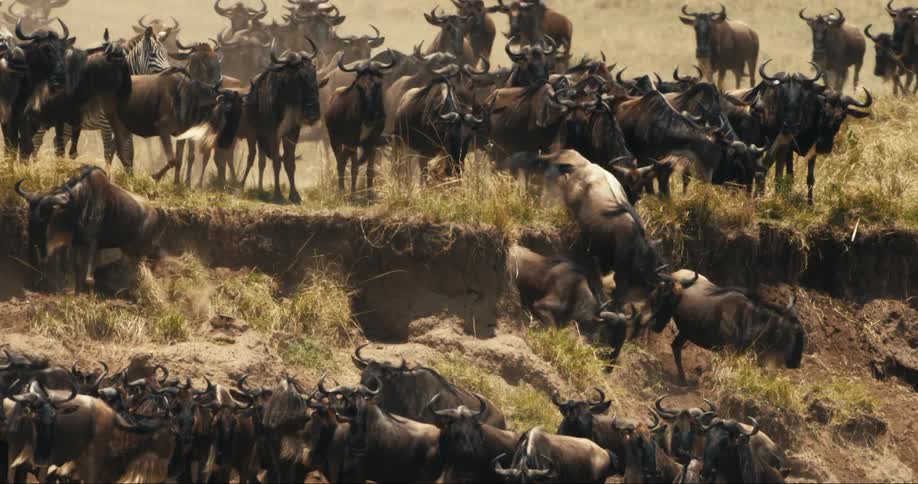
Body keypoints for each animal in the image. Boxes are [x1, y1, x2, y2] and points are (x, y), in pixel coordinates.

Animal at [14, 166, 165, 293]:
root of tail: (156, 214)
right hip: (129, 250)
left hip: (141, 250)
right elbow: (74, 267)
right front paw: (73, 290)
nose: (34, 247)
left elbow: (87, 273)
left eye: (45, 218)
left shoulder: (92, 243)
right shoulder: (76, 243)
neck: (77, 204)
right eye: (29, 219)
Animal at [33, 27, 171, 164]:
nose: (169, 73)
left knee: (57, 142)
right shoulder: (105, 122)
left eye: (167, 54)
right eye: (153, 55)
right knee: (36, 142)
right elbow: (109, 152)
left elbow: (127, 151)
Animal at [243, 38, 323, 203]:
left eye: (313, 72)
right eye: (300, 75)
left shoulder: (292, 133)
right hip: (253, 135)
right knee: (255, 159)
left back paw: (260, 189)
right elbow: (276, 162)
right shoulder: (273, 134)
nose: (313, 113)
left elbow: (289, 162)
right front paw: (278, 195)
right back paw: (247, 187)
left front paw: (295, 195)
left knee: (261, 161)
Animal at [325, 52, 396, 194]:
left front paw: (370, 192)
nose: (370, 115)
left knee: (343, 161)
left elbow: (370, 170)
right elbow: (354, 169)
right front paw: (353, 193)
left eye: (377, 84)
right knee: (340, 162)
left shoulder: (373, 141)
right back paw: (341, 190)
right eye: (359, 86)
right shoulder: (353, 142)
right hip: (334, 140)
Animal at [648, 270, 807, 384]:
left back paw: (683, 379)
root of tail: (676, 274)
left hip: (686, 332)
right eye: (796, 330)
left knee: (676, 346)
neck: (751, 319)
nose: (796, 363)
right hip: (665, 319)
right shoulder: (727, 352)